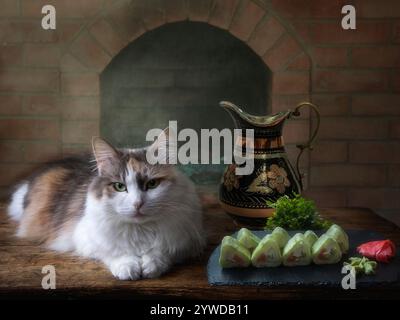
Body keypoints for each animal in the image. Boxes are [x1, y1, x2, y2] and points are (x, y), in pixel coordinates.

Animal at [7, 129, 205, 280]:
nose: (137, 204)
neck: (139, 229)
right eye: (119, 186)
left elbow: (162, 252)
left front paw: (151, 265)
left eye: (152, 184)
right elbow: (112, 251)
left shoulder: (186, 241)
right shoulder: (84, 237)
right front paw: (128, 266)